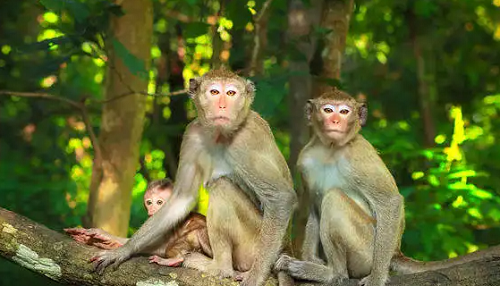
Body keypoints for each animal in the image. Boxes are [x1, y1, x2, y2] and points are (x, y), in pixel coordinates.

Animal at [64, 178, 211, 268]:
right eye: (149, 202)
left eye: (159, 202)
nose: (152, 209)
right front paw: (104, 238)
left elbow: (162, 247)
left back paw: (176, 259)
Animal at [91, 68, 296, 286]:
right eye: (214, 92)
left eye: (231, 93)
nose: (222, 105)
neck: (220, 134)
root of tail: (286, 248)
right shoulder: (192, 134)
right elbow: (182, 198)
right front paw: (124, 248)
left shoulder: (245, 141)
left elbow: (281, 197)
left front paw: (255, 277)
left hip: (253, 244)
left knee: (222, 187)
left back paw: (220, 267)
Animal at [274, 87, 500, 286]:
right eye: (328, 110)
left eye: (344, 111)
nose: (335, 121)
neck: (330, 149)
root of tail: (395, 253)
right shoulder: (305, 160)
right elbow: (313, 207)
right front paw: (310, 258)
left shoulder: (359, 156)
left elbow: (391, 202)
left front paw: (377, 278)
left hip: (367, 249)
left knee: (334, 200)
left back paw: (333, 274)